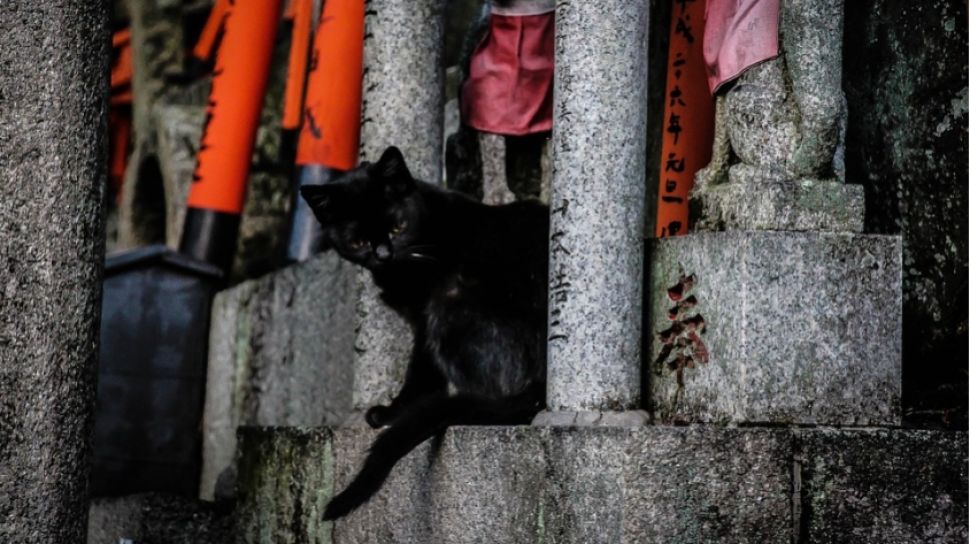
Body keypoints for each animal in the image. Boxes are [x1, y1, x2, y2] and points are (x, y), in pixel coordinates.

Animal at [298, 147, 548, 520]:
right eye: (358, 241)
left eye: (397, 226)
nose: (383, 255)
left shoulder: (424, 317)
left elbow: (420, 372)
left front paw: (392, 412)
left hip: (449, 298)